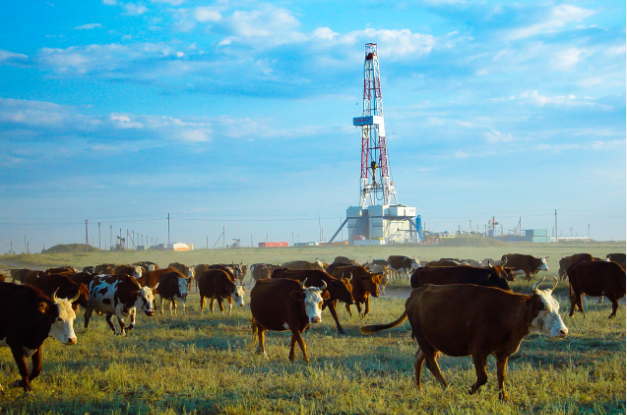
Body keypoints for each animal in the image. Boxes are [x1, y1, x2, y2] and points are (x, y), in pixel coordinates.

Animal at [358, 278, 568, 402]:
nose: (563, 331)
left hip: (431, 341)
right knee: (431, 364)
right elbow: (483, 377)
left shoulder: (503, 352)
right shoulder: (478, 350)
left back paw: (418, 388)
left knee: (419, 359)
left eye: (557, 306)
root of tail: (416, 293)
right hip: (423, 338)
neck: (506, 311)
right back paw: (447, 389)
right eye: (543, 306)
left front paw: (503, 397)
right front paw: (471, 390)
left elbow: (501, 376)